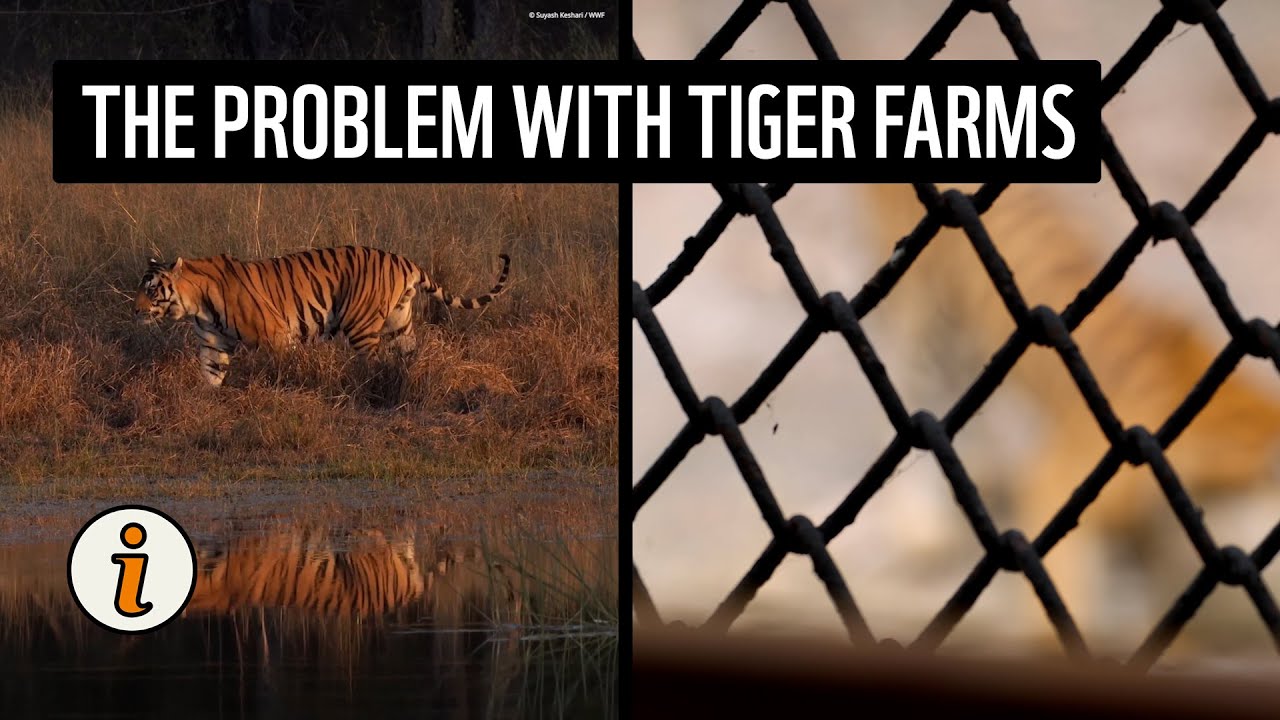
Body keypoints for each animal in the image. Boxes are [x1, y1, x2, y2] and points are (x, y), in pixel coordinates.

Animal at [133, 245, 511, 386]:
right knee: (406, 355)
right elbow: (210, 378)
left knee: (371, 363)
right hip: (399, 324)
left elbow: (287, 368)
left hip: (361, 325)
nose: (135, 310)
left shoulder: (276, 334)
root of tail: (403, 260)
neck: (193, 303)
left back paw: (366, 389)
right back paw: (403, 382)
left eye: (151, 290)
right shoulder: (212, 346)